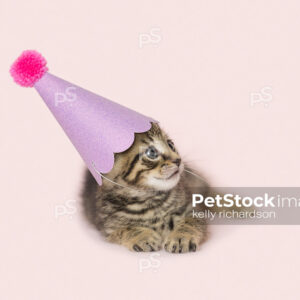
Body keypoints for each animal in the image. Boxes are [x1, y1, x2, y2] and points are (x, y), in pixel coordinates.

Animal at [81, 123, 210, 252]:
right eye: (151, 152)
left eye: (171, 144)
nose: (178, 160)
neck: (150, 199)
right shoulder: (108, 228)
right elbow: (124, 230)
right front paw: (142, 236)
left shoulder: (193, 209)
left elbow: (190, 221)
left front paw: (181, 237)